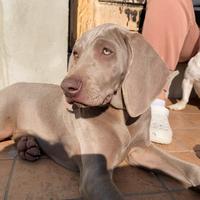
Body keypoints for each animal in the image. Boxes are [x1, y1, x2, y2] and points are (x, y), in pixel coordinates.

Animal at [0, 23, 200, 198]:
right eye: (76, 53)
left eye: (106, 51)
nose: (66, 87)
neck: (122, 115)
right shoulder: (95, 176)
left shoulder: (141, 150)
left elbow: (187, 168)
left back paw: (28, 146)